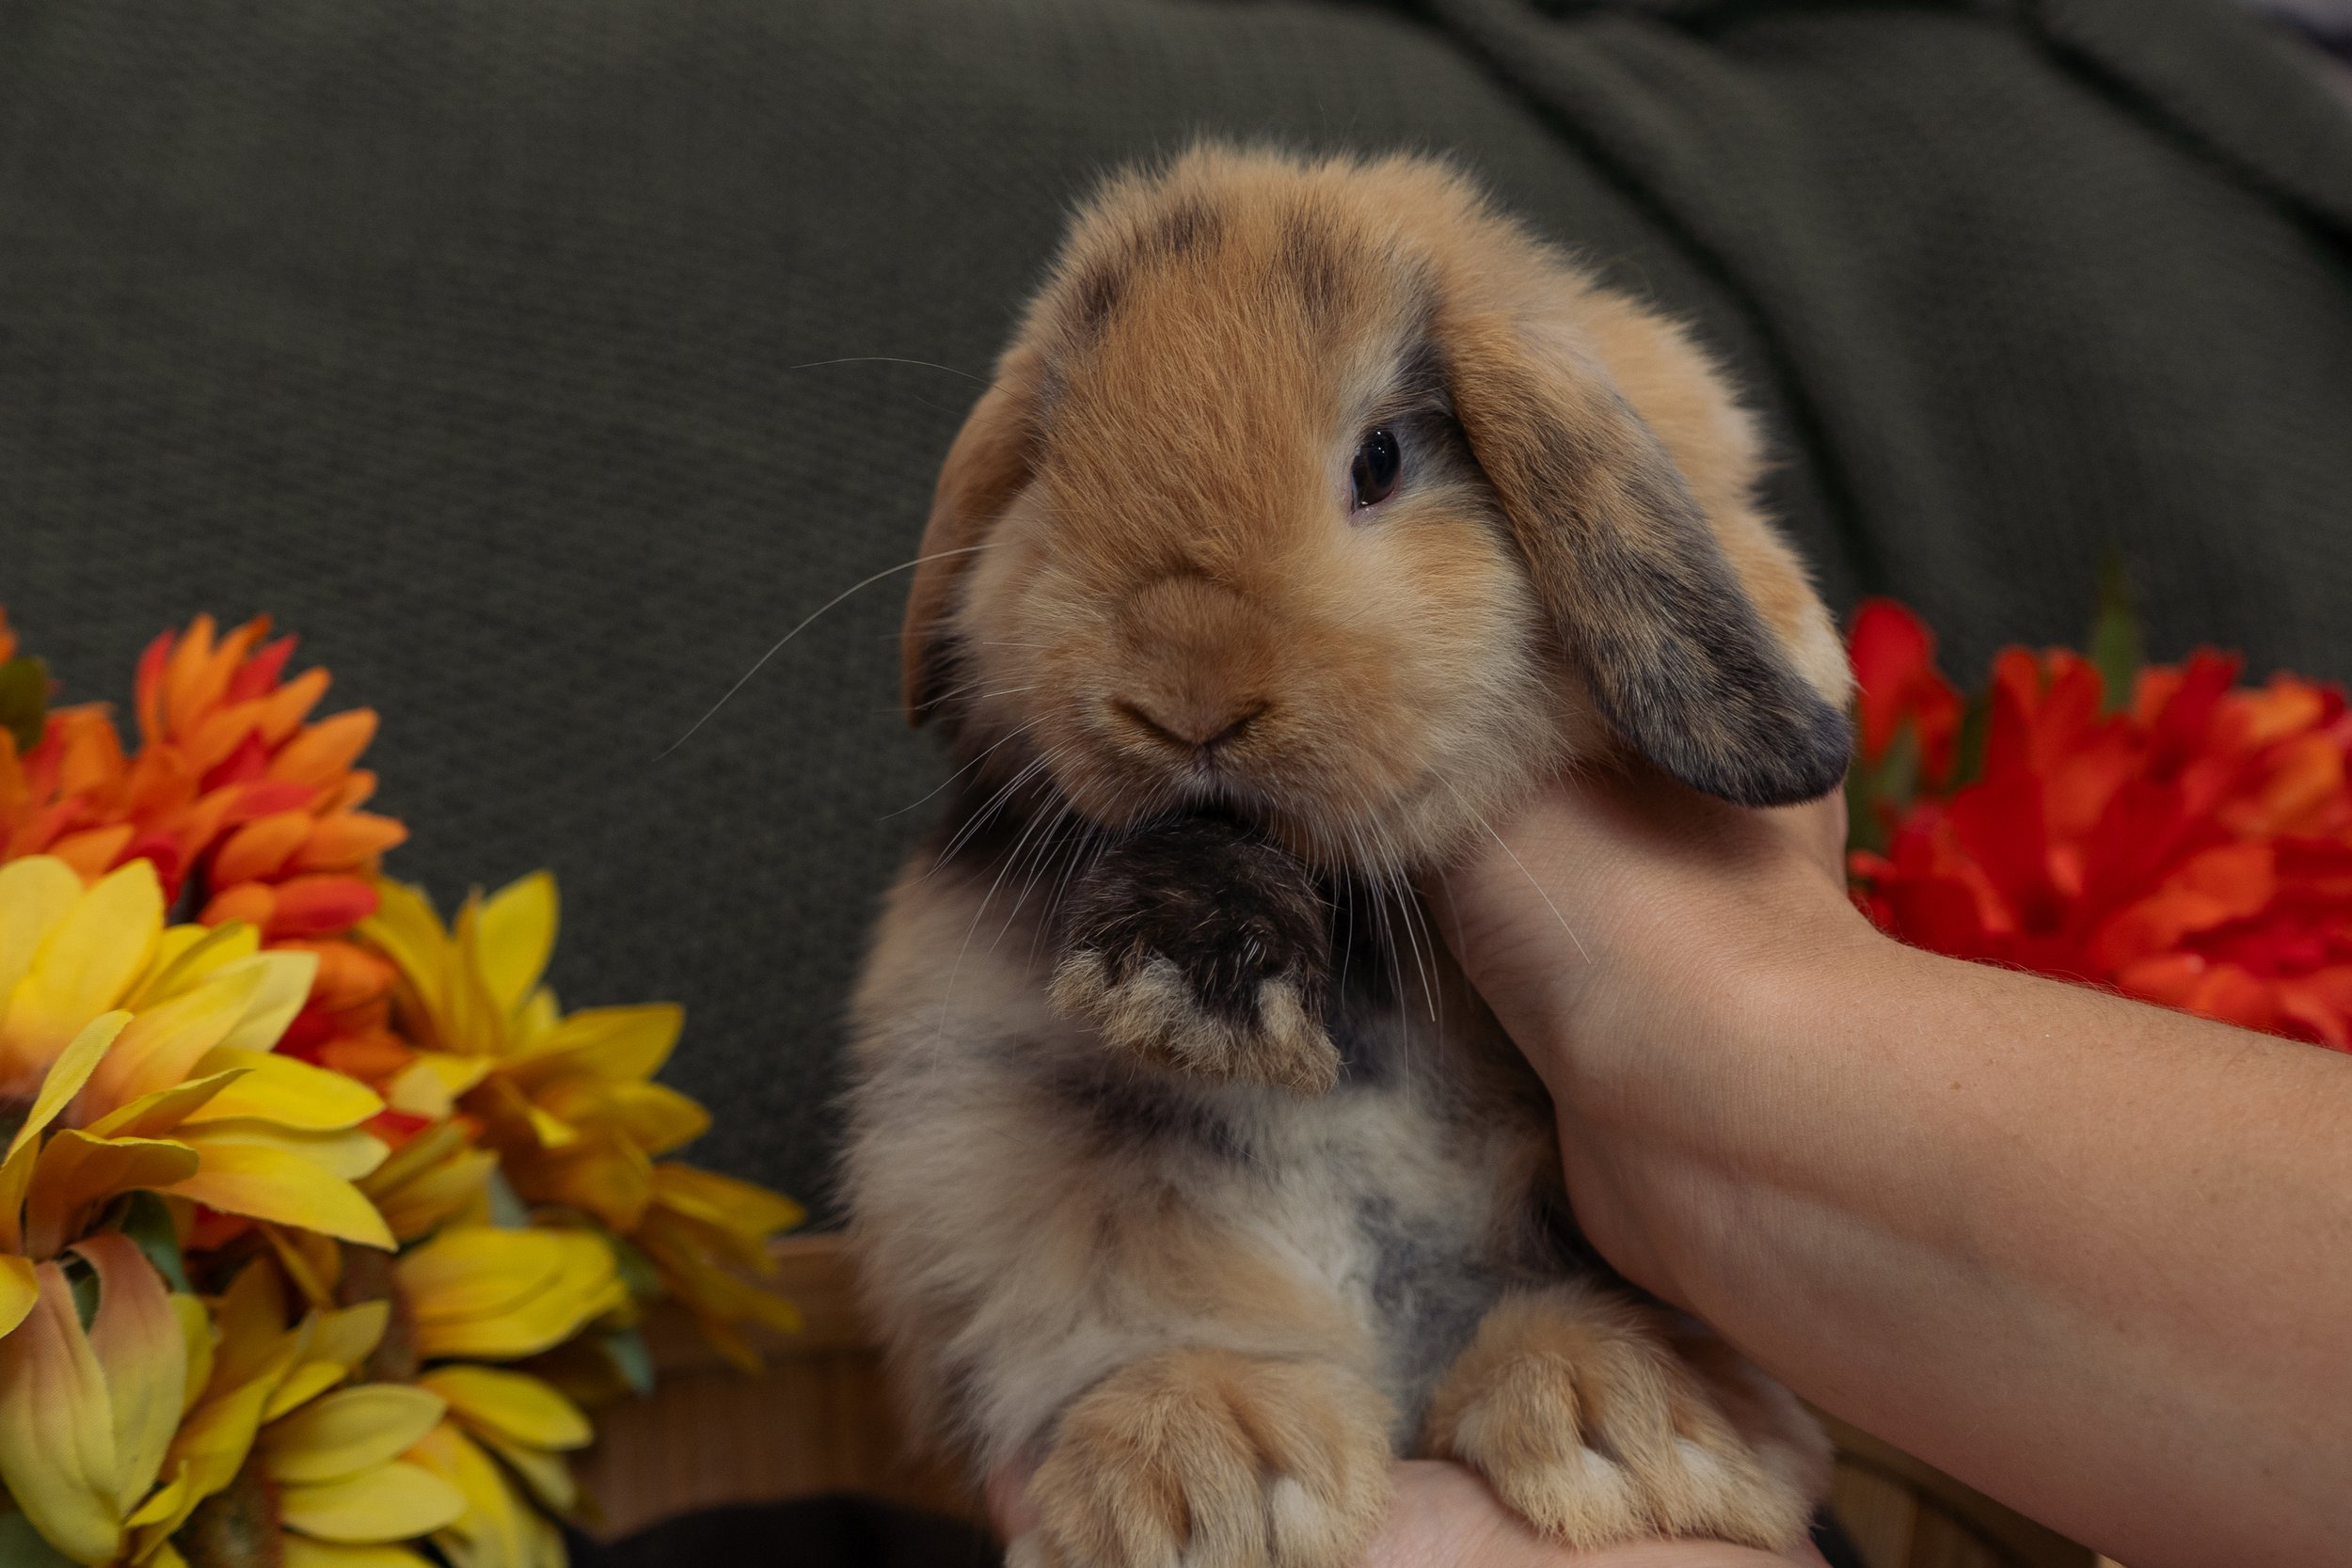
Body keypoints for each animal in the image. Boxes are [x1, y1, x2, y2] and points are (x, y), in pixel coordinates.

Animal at [842, 144, 1853, 1568]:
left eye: (1379, 460)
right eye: (1052, 462)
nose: (1187, 691)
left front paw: (1793, 624)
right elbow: (1200, 847)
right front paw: (1188, 993)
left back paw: (1623, 1421)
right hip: (1009, 1177)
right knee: (1154, 1346)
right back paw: (1220, 1475)